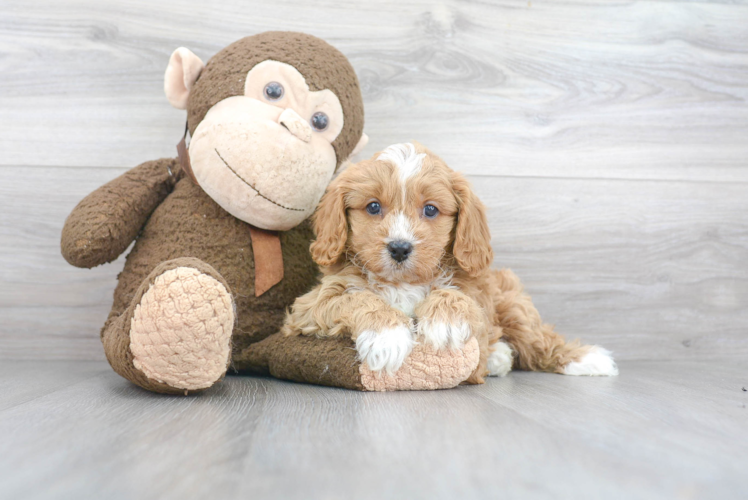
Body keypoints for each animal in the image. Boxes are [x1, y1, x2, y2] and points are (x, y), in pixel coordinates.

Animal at [282, 143, 620, 380]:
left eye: (431, 210)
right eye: (374, 207)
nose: (400, 248)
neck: (404, 283)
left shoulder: (477, 293)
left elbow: (457, 296)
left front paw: (445, 324)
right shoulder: (309, 307)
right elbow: (356, 298)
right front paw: (387, 338)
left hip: (512, 304)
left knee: (538, 340)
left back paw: (585, 359)